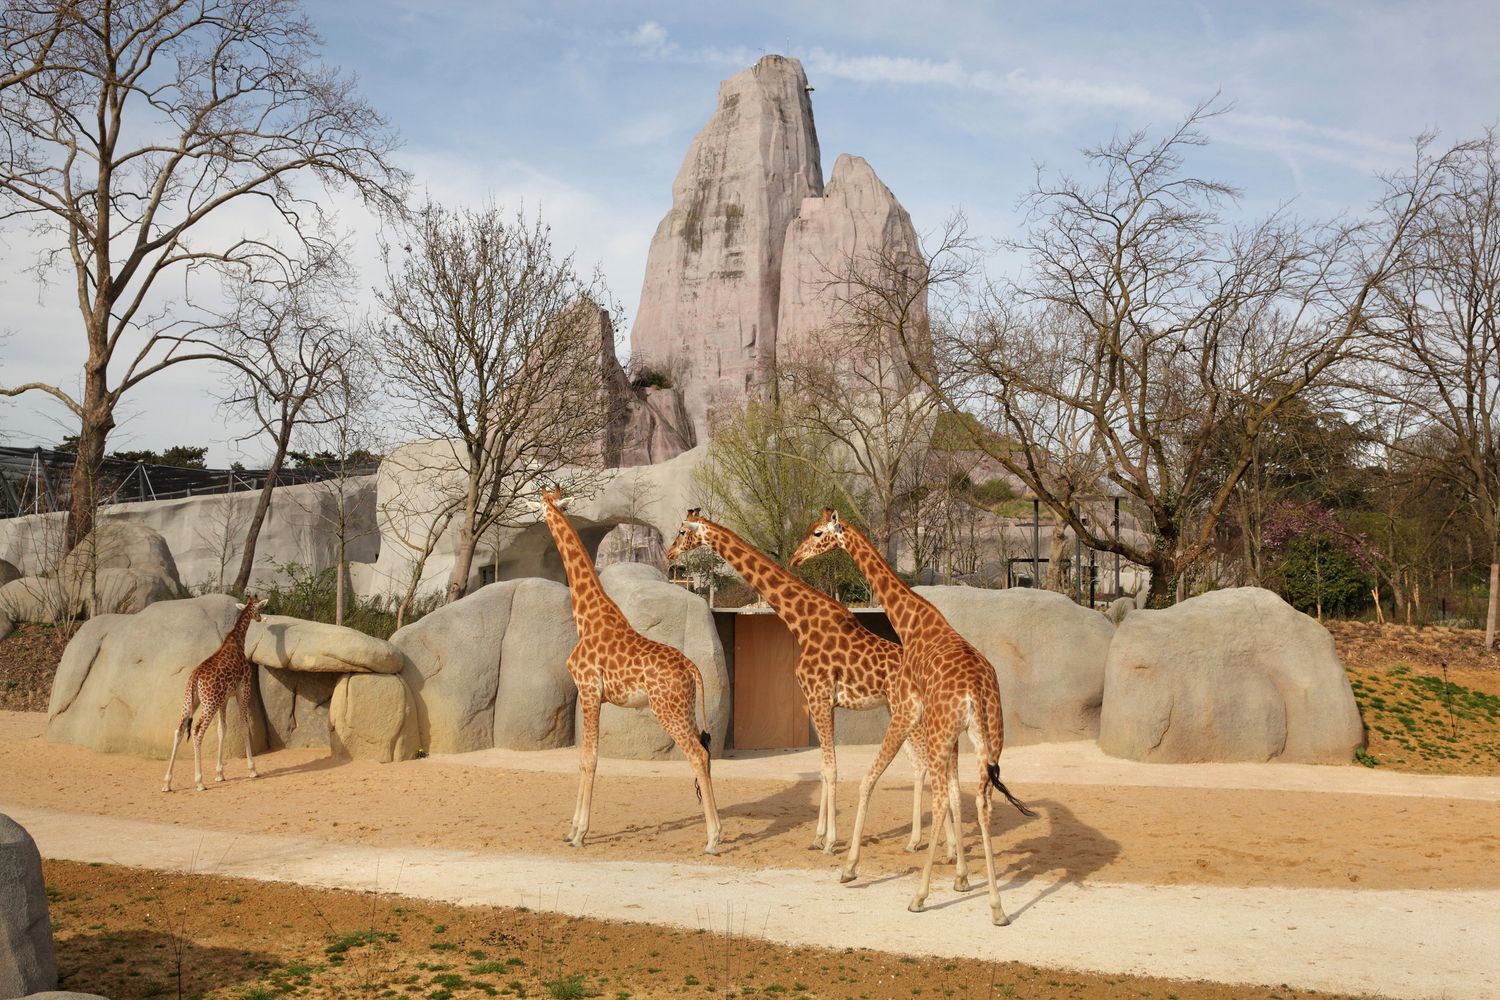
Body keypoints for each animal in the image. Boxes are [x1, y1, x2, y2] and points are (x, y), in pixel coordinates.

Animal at [161, 595, 266, 793]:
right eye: (259, 608)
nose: (262, 619)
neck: (238, 640)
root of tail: (195, 678)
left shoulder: (223, 700)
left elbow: (222, 729)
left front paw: (219, 774)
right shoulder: (243, 690)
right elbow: (244, 725)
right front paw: (253, 770)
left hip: (191, 701)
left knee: (179, 730)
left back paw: (166, 783)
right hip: (209, 703)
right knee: (197, 731)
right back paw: (199, 782)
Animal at [539, 487, 723, 855]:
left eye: (540, 501)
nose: (538, 510)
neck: (585, 616)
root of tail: (693, 667)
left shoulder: (589, 690)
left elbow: (589, 758)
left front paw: (579, 833)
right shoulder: (594, 696)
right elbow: (586, 758)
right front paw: (572, 830)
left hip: (666, 710)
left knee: (697, 755)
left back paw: (712, 839)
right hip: (684, 709)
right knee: (706, 754)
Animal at [665, 509, 959, 858]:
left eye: (682, 531)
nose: (669, 554)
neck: (801, 623)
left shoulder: (818, 696)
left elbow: (831, 768)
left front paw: (830, 841)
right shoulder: (821, 701)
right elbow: (822, 767)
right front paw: (818, 837)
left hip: (910, 713)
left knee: (932, 764)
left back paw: (948, 847)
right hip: (899, 712)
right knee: (922, 764)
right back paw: (919, 841)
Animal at [791, 509, 1034, 926]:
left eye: (818, 533)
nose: (795, 559)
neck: (914, 622)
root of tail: (975, 693)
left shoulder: (912, 711)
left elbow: (888, 782)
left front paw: (849, 867)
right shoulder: (956, 736)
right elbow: (958, 796)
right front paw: (963, 879)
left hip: (939, 733)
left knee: (940, 801)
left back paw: (918, 897)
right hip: (989, 739)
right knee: (981, 802)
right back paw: (997, 908)